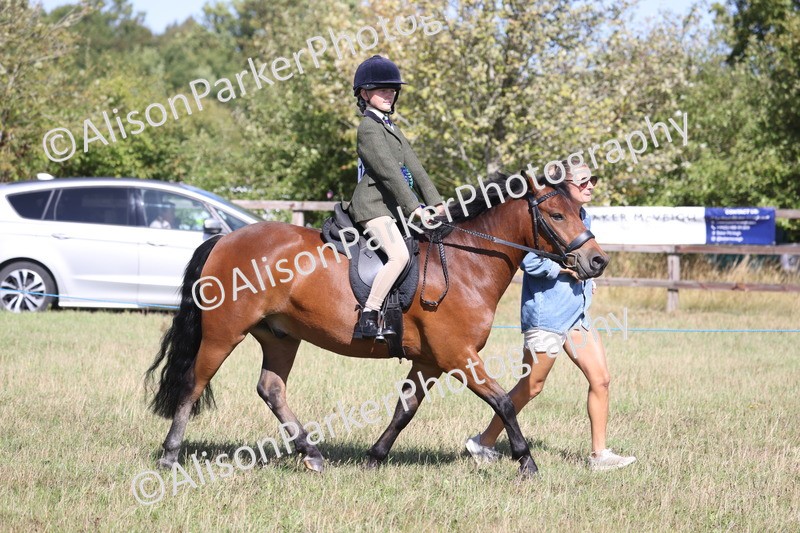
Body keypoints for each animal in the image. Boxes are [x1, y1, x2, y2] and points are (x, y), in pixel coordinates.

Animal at [145, 172, 609, 477]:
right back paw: (170, 455)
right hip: (224, 333)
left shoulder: (430, 362)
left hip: (280, 336)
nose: (597, 261)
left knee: (271, 389)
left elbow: (405, 410)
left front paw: (374, 457)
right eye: (557, 215)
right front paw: (526, 461)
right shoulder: (458, 356)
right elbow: (504, 402)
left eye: (577, 210)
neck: (466, 262)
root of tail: (224, 238)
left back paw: (312, 454)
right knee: (194, 384)